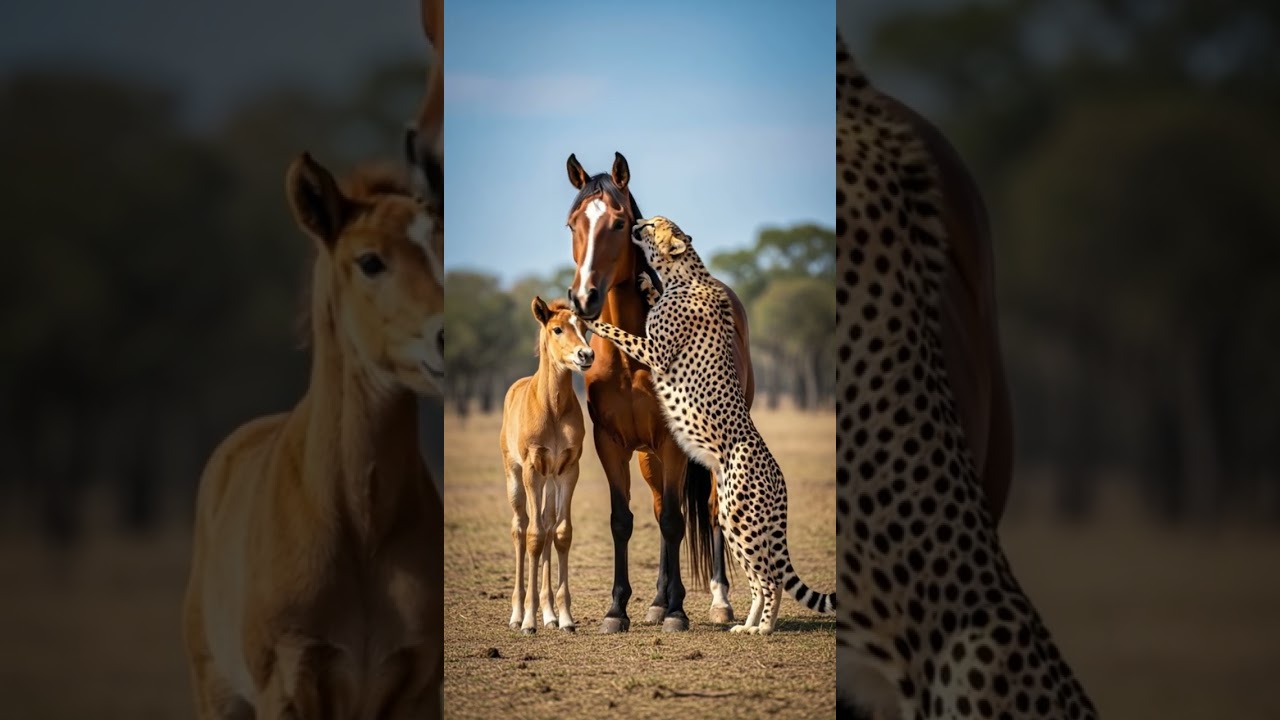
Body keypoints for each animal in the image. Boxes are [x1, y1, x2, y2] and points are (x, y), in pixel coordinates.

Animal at [182, 154, 445, 719]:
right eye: (370, 261)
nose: (443, 338)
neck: (361, 528)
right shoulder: (287, 686)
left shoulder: (417, 688)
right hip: (218, 694)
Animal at [500, 296, 595, 634]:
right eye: (557, 329)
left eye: (584, 328)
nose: (586, 355)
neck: (552, 408)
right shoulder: (531, 469)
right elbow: (533, 536)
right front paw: (529, 620)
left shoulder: (568, 469)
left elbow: (561, 533)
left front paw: (564, 617)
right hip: (516, 475)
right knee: (521, 527)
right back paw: (517, 615)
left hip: (550, 480)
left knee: (548, 523)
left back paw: (551, 614)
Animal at [563, 151, 755, 633]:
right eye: (572, 223)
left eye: (618, 223)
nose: (583, 298)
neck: (631, 359)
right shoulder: (610, 443)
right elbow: (623, 520)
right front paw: (618, 609)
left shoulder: (672, 443)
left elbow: (673, 520)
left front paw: (678, 612)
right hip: (650, 455)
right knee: (657, 506)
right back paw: (656, 601)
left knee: (710, 510)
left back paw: (717, 602)